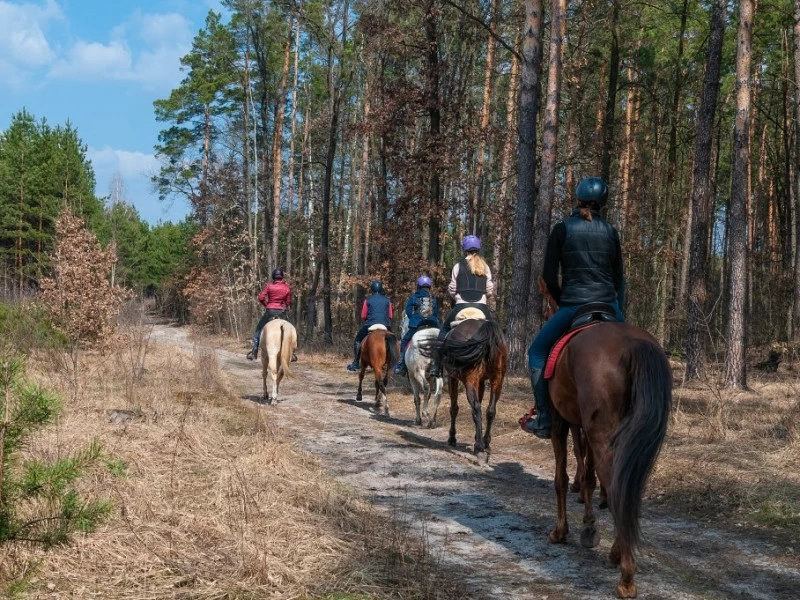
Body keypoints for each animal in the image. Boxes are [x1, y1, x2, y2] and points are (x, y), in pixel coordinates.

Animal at [418, 314, 506, 464]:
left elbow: (454, 409)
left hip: (470, 380)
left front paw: (452, 438)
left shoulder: (453, 379)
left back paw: (480, 448)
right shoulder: (481, 382)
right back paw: (485, 444)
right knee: (490, 410)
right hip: (497, 380)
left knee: (476, 409)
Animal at [548, 322, 672, 596]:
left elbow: (561, 479)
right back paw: (617, 554)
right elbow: (587, 475)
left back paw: (626, 577)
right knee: (625, 489)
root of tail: (633, 344)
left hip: (599, 434)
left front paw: (561, 531)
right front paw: (588, 526)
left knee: (616, 487)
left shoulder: (559, 422)